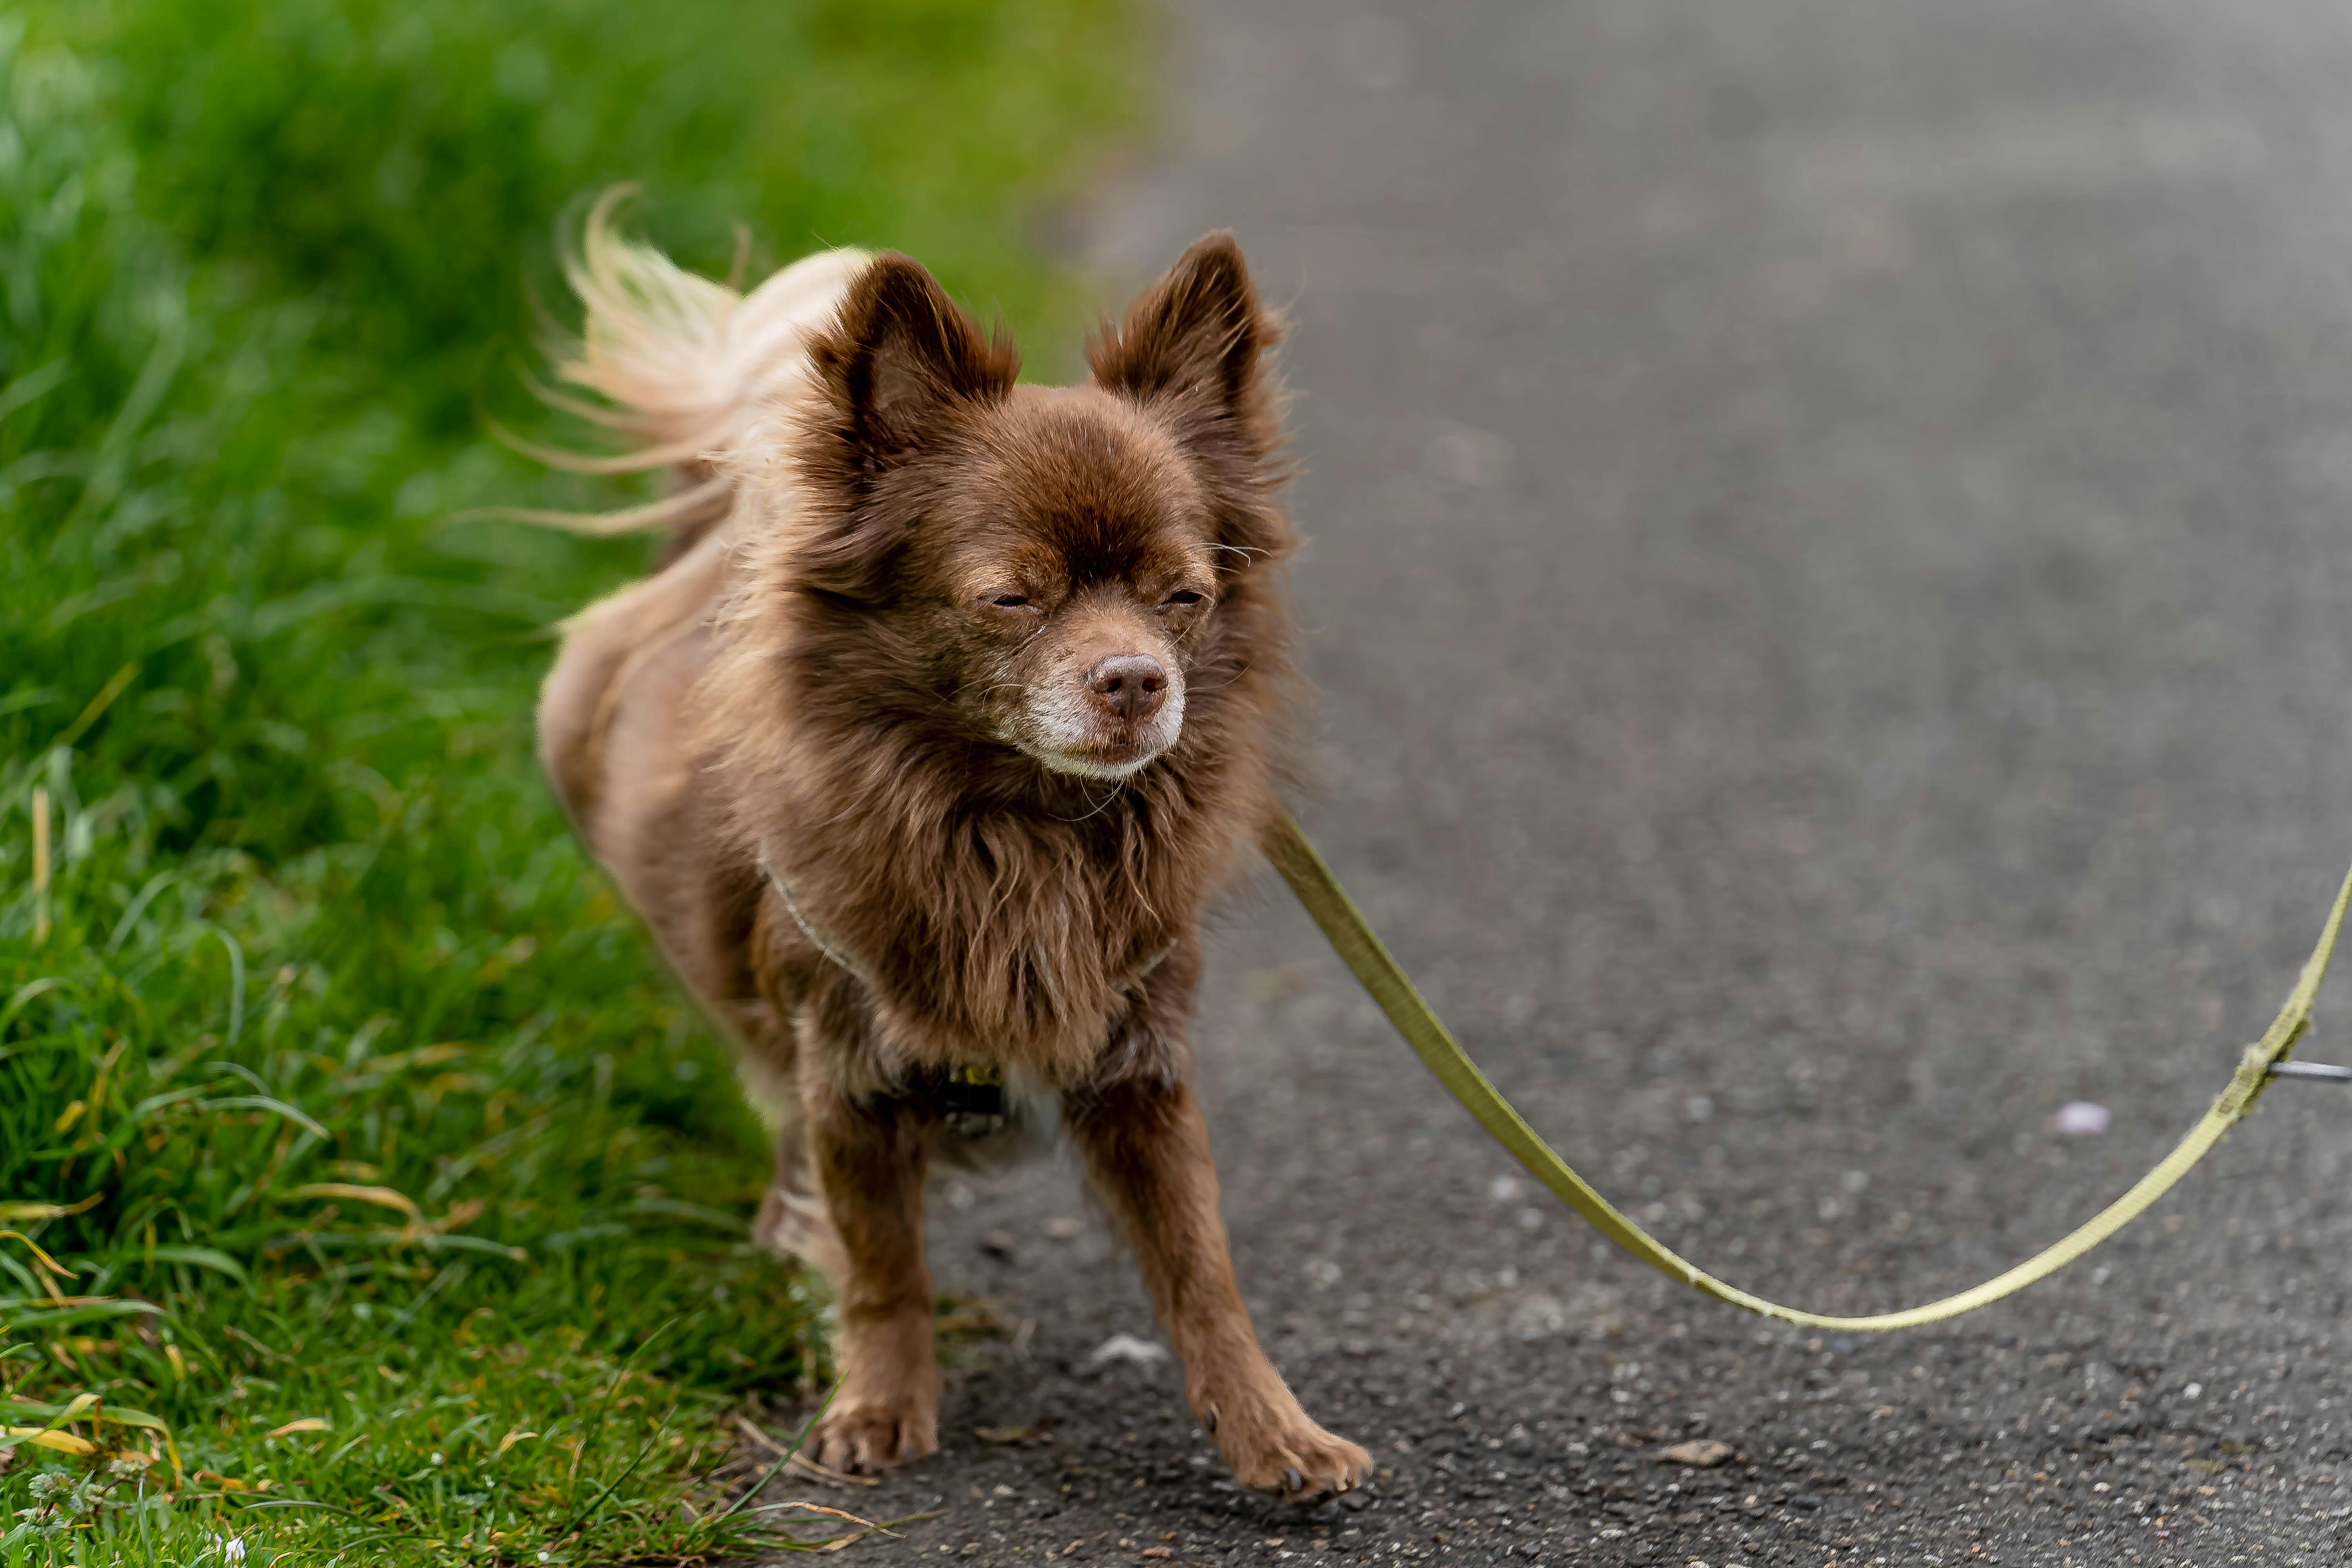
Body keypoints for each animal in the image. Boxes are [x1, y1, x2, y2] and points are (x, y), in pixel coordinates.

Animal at [534, 205, 1374, 1495]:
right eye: (1011, 600)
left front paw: (1270, 1427)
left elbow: (1201, 1269)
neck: (1021, 831)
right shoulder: (851, 1077)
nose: (1137, 678)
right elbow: (886, 1265)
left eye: (1180, 598)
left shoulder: (1140, 1072)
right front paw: (878, 1404)